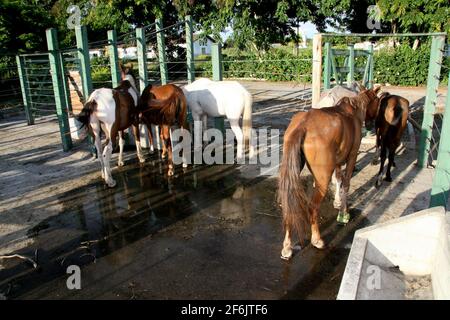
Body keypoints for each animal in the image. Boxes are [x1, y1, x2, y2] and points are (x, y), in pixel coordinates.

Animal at [278, 85, 380, 260]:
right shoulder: (352, 155)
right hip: (322, 178)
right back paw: (316, 239)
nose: (372, 124)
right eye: (378, 101)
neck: (352, 111)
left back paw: (287, 246)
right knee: (313, 207)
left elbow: (338, 178)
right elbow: (346, 183)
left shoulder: (338, 160)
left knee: (289, 203)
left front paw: (338, 202)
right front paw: (343, 214)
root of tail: (303, 125)